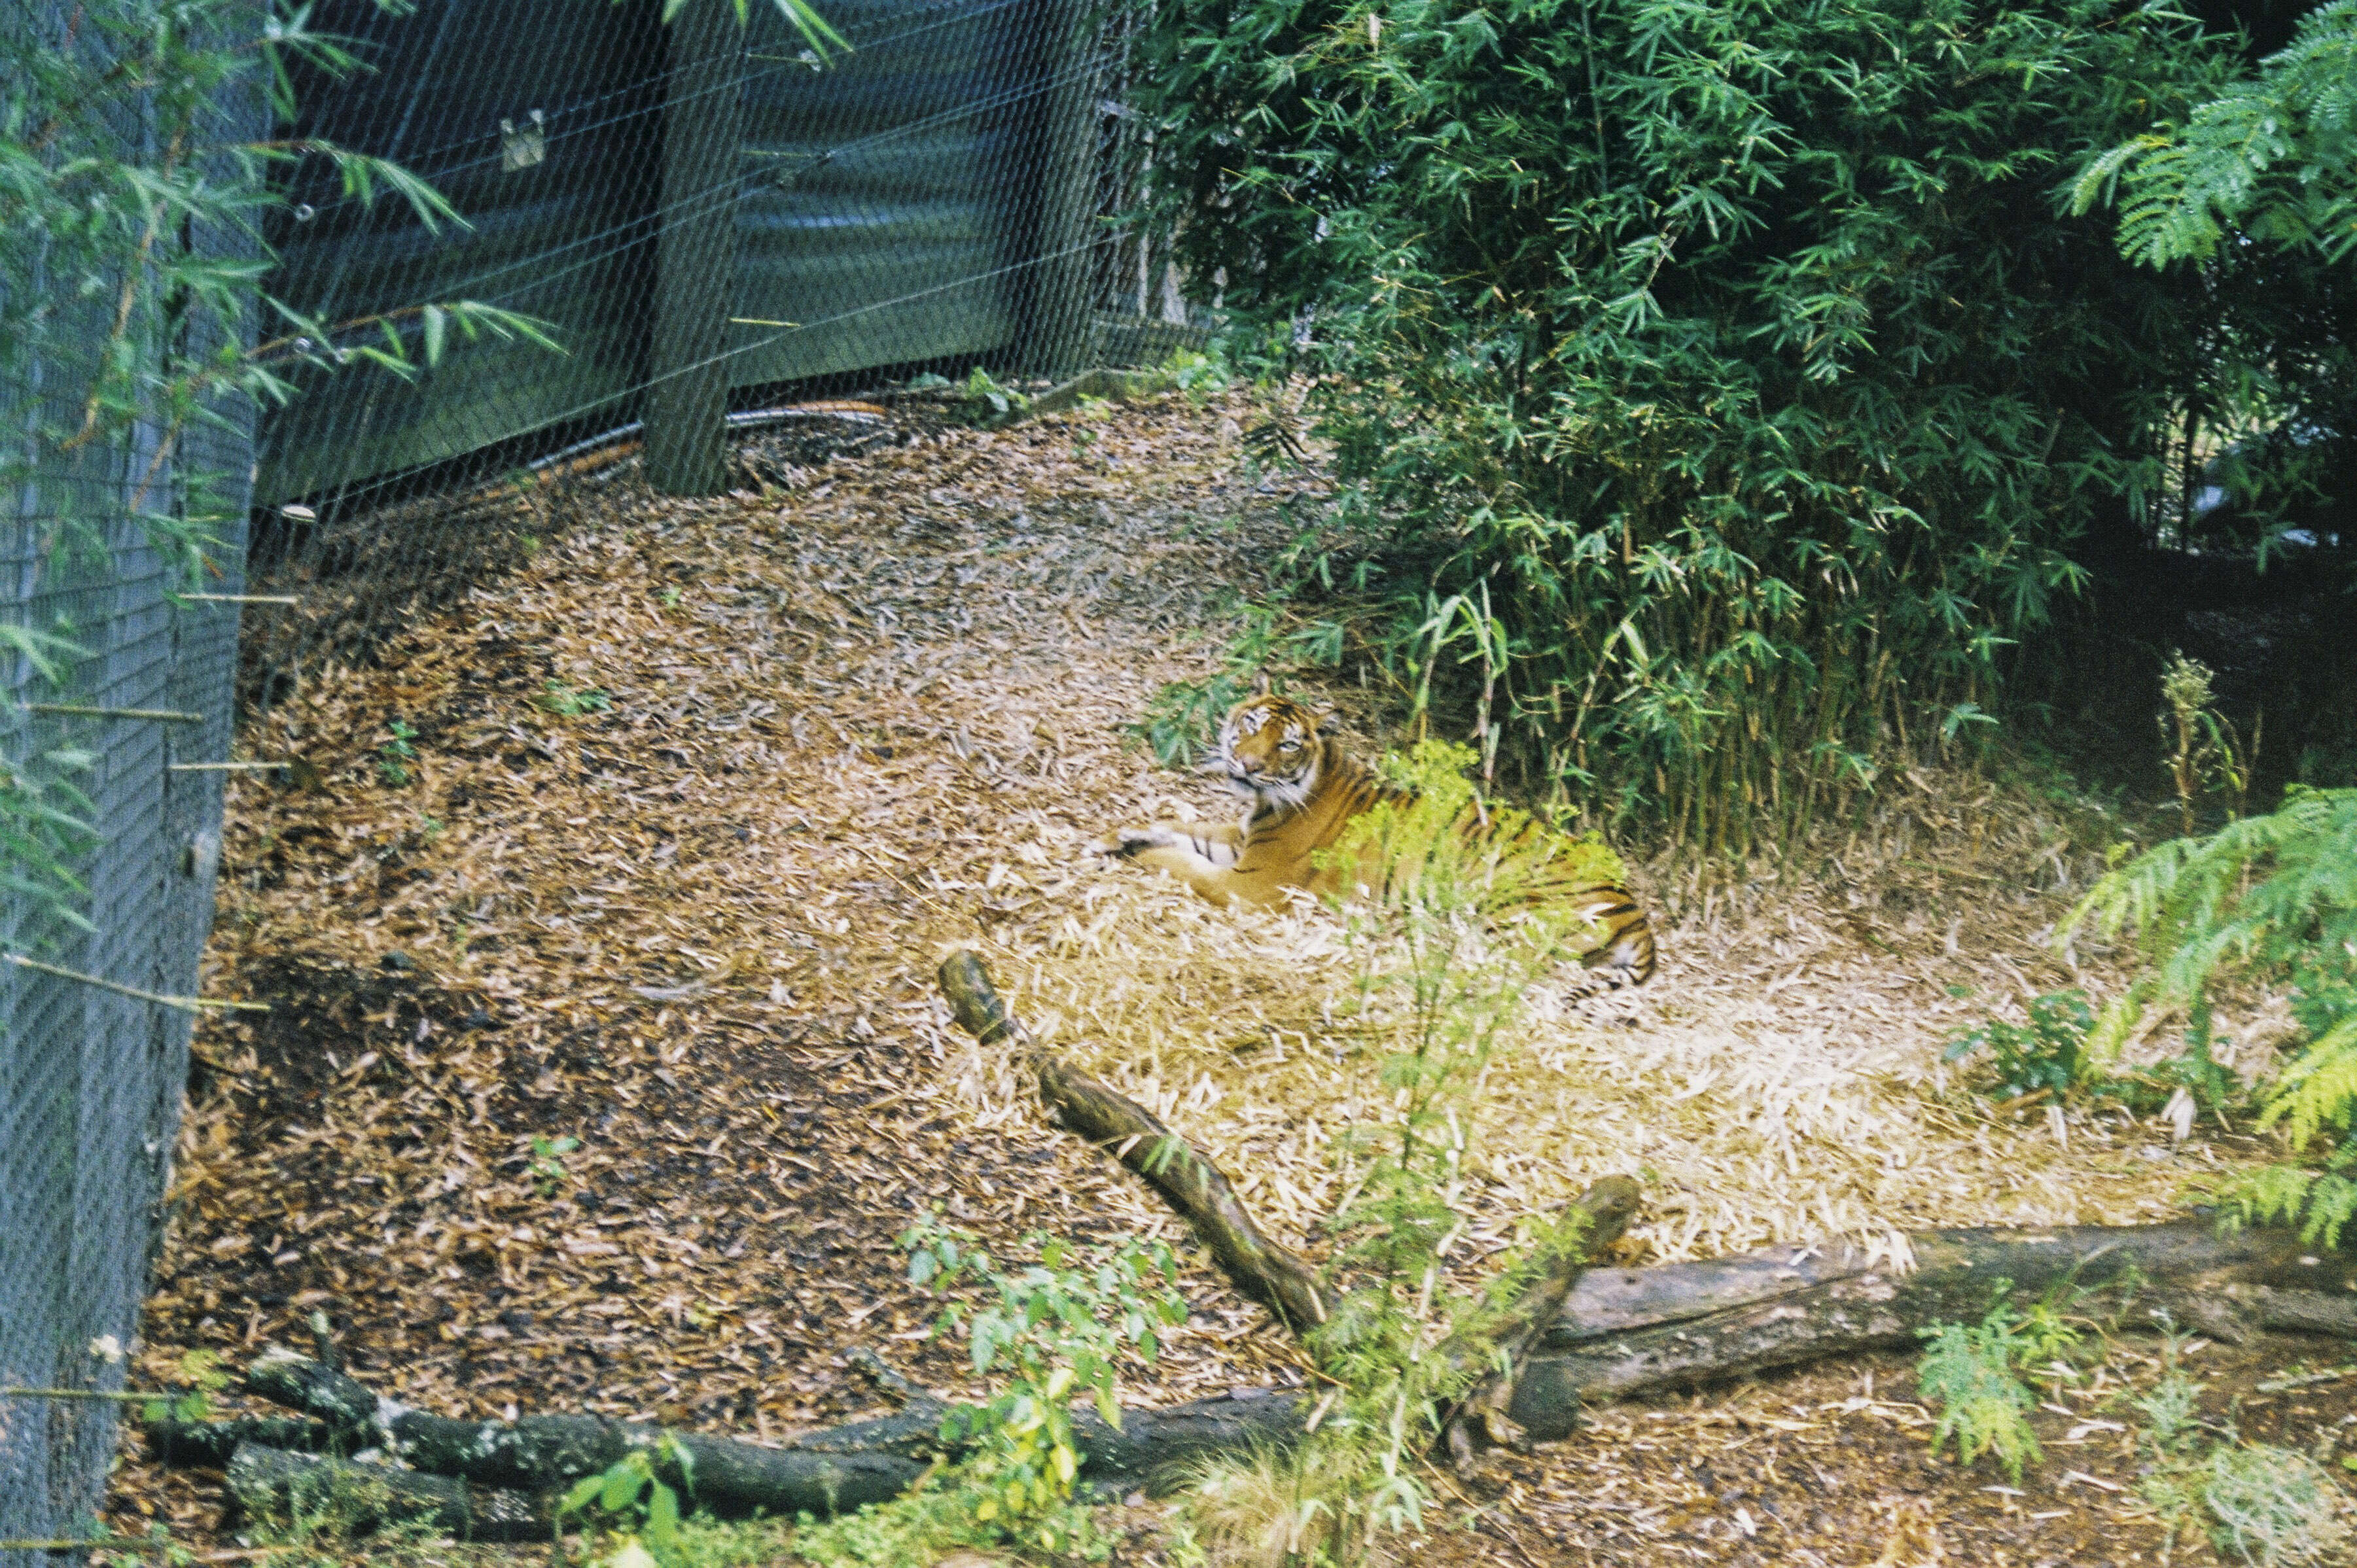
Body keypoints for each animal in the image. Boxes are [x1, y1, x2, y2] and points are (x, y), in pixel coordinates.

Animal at [1089, 693, 1659, 985]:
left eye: (1287, 743)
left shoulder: (1252, 885)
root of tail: (1637, 912)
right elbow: (1182, 825)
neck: (1270, 801)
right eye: (1250, 723)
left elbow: (1182, 864)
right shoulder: (1241, 841)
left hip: (1504, 904)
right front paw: (1115, 833)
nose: (1245, 765)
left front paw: (1138, 853)